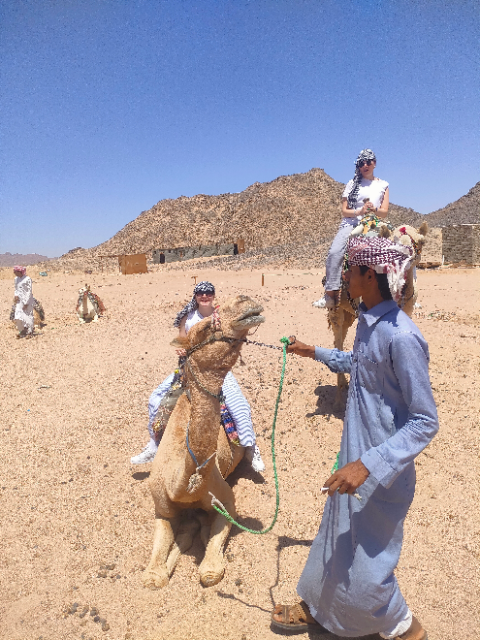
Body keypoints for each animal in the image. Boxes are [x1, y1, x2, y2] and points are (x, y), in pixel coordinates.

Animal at [324, 220, 428, 411]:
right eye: (392, 241)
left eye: (421, 241)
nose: (406, 256)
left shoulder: (407, 312)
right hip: (336, 308)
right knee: (338, 339)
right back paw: (339, 397)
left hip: (349, 314)